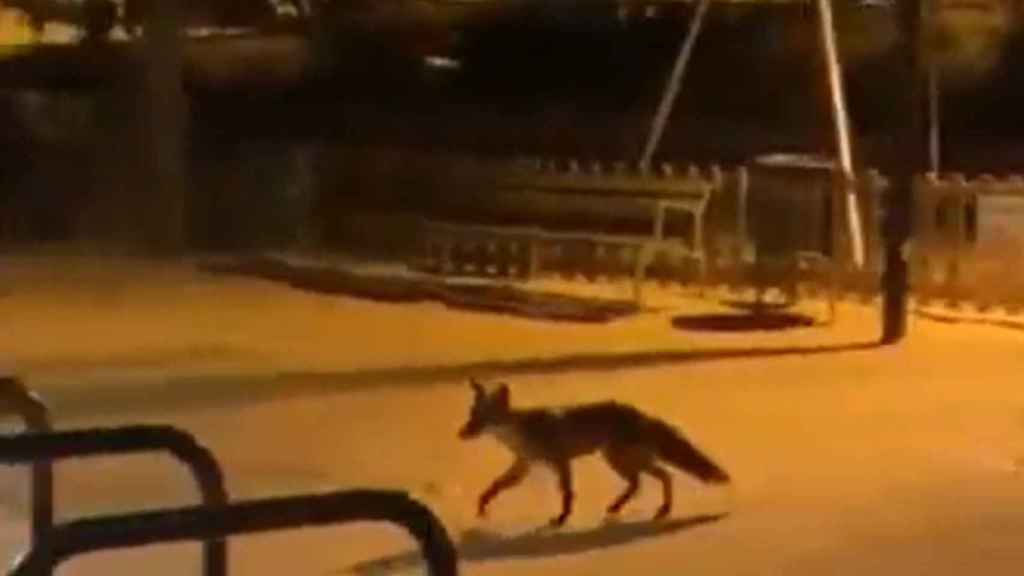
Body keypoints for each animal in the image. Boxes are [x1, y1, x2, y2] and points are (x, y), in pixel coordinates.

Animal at [456, 375, 729, 528]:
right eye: (471, 416)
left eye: (482, 419)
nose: (461, 433)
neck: (520, 434)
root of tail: (641, 413)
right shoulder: (524, 465)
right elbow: (495, 486)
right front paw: (482, 506)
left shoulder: (560, 460)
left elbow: (566, 492)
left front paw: (562, 518)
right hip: (621, 459)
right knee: (653, 478)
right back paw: (630, 508)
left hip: (619, 459)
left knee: (658, 477)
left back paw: (655, 509)